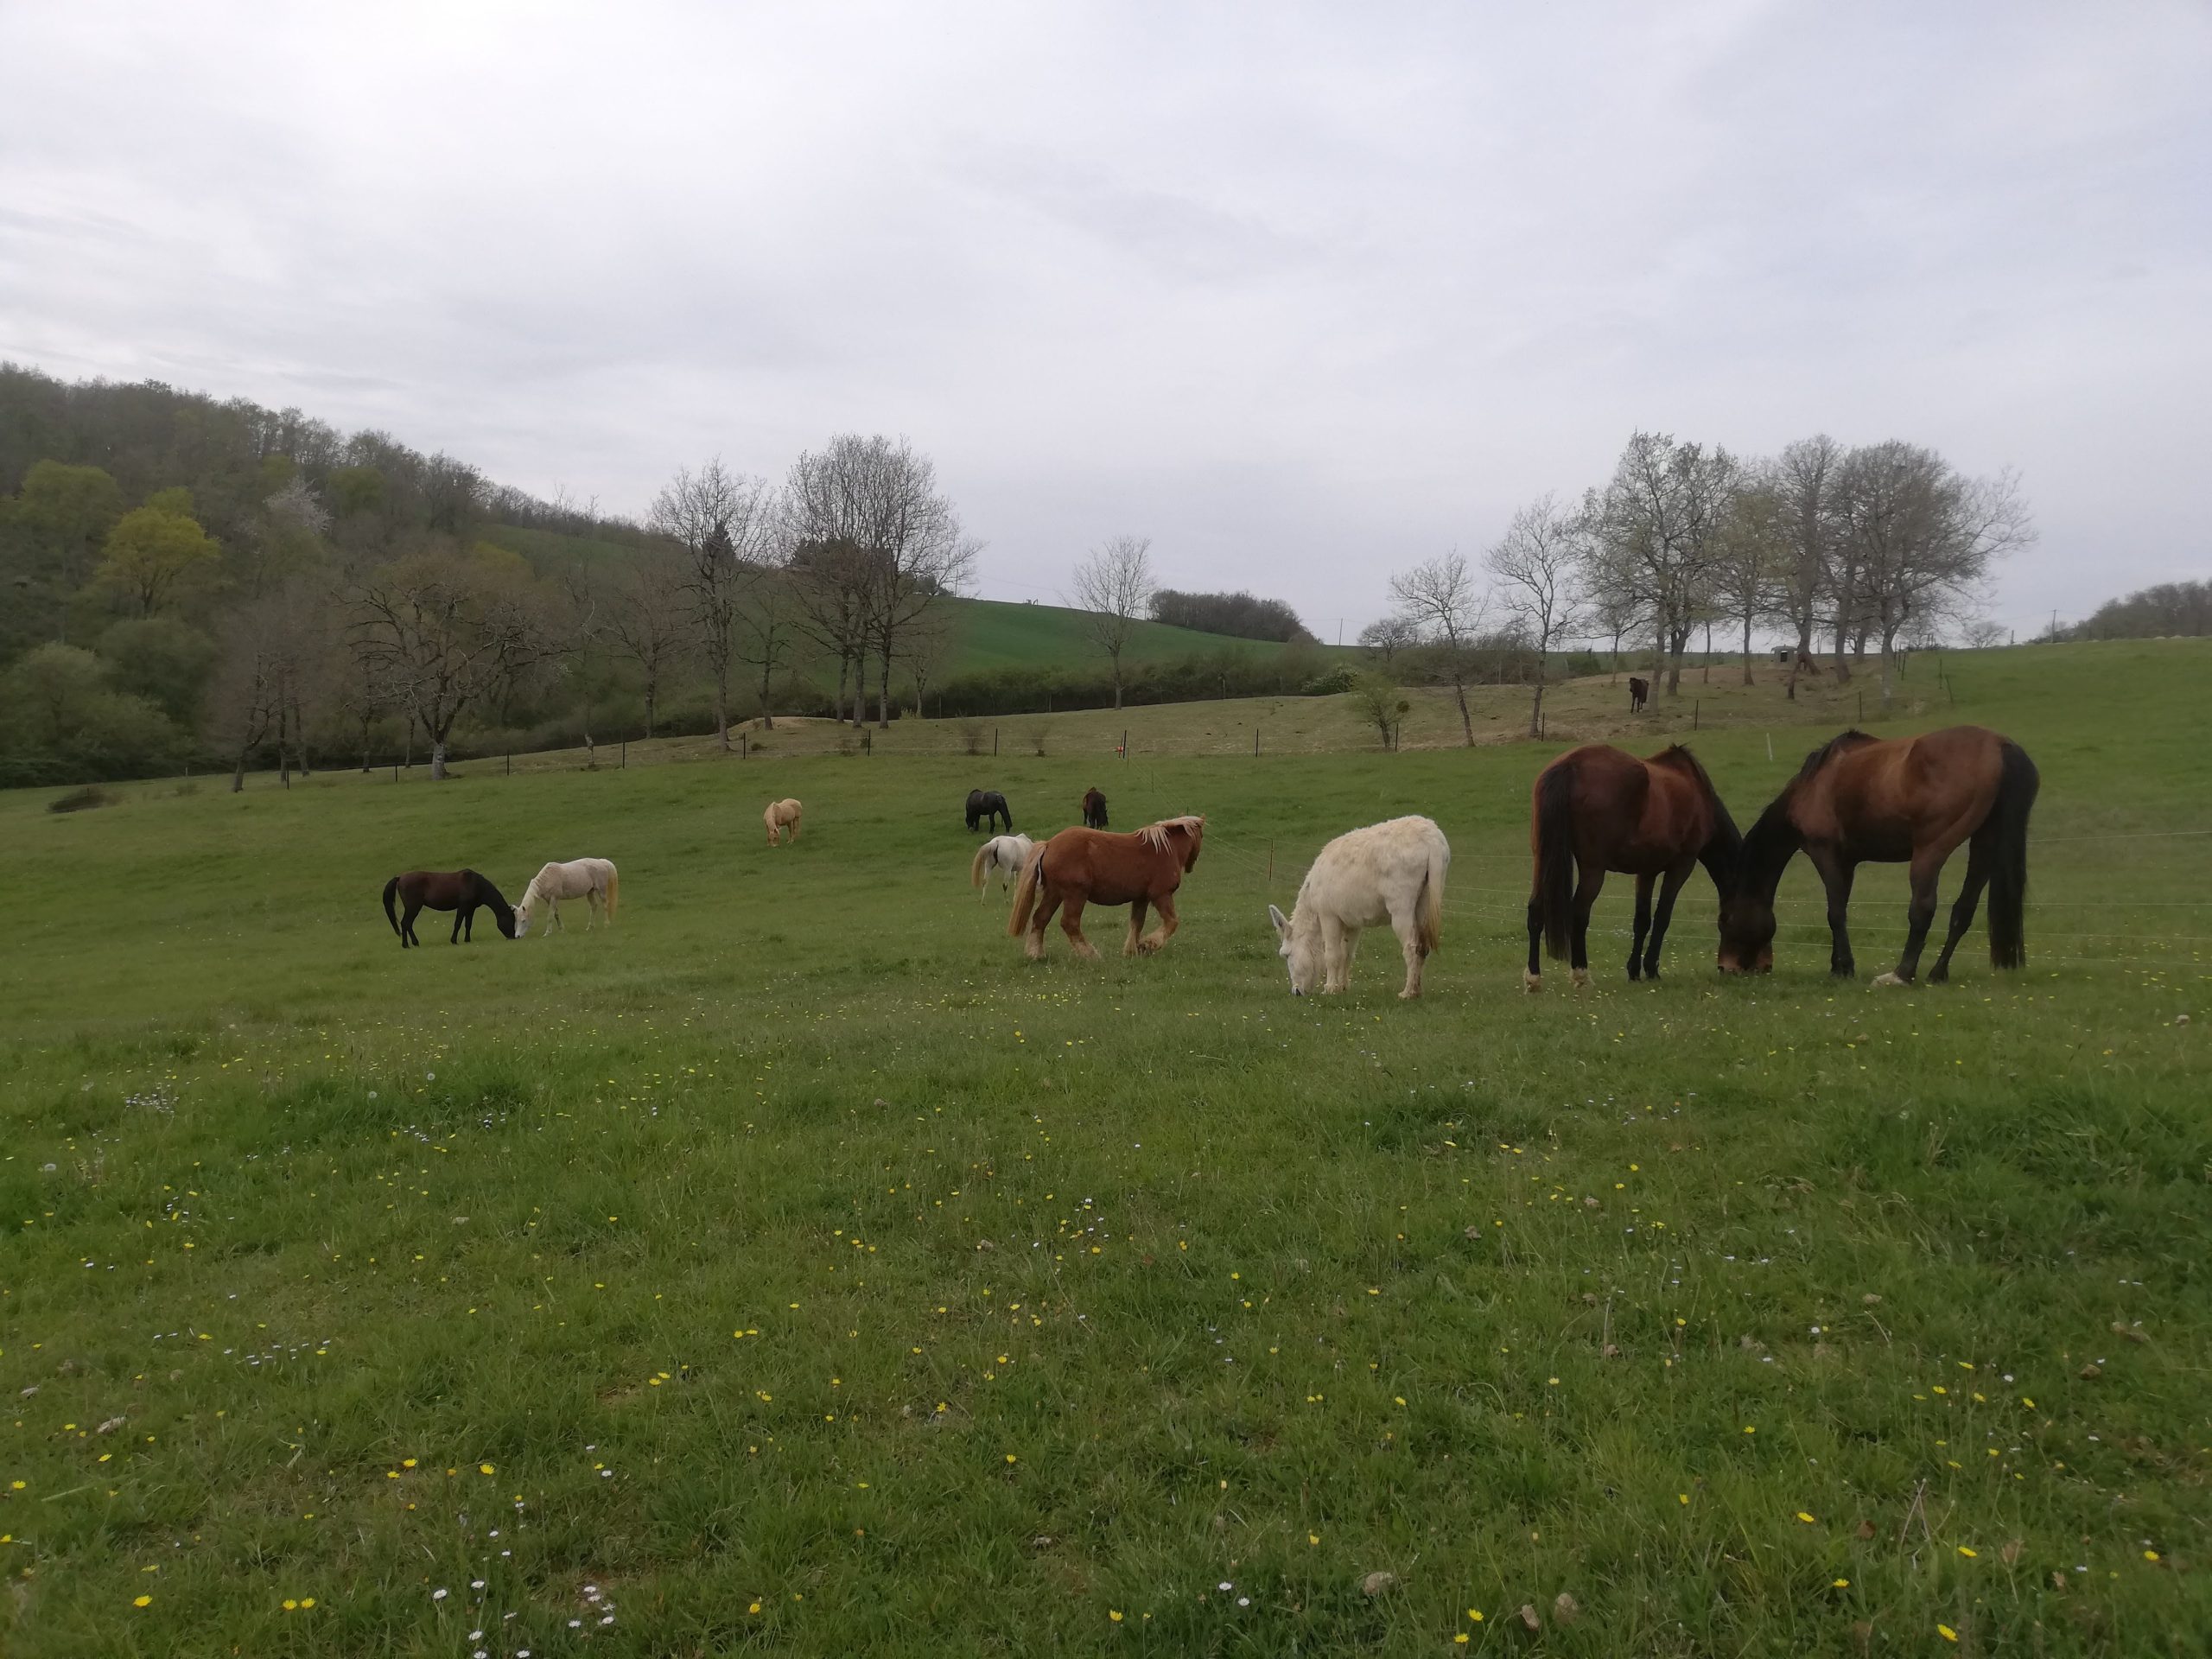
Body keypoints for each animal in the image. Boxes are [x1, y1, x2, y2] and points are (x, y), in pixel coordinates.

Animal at [382, 870, 515, 948]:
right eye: (512, 921)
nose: (513, 937)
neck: (475, 884)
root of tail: (400, 877)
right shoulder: (463, 907)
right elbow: (458, 923)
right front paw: (454, 941)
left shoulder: (471, 909)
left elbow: (468, 925)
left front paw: (467, 940)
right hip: (413, 907)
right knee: (406, 923)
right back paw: (408, 944)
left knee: (407, 924)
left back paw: (412, 943)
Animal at [1009, 815, 1204, 960]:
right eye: (1202, 836)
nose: (1191, 865)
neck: (1165, 849)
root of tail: (1049, 844)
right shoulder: (1161, 895)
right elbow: (1171, 922)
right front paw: (1149, 944)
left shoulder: (1141, 898)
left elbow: (1137, 923)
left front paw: (1133, 950)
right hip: (1075, 895)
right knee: (1070, 923)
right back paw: (1091, 955)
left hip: (1054, 893)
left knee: (1040, 918)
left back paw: (1037, 954)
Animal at [1267, 816, 1448, 998]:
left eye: (1286, 955)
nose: (1296, 992)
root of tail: (1431, 839)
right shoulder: (1352, 922)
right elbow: (1346, 954)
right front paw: (1343, 987)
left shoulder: (1328, 916)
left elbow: (1331, 955)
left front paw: (1330, 988)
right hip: (1426, 901)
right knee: (1423, 948)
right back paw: (1417, 990)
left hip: (1401, 907)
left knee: (1411, 947)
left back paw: (1408, 993)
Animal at [1525, 743, 1740, 990]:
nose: (1730, 970)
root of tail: (1570, 765)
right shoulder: (1682, 865)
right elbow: (1663, 916)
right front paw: (1651, 970)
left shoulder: (1646, 871)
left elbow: (1642, 920)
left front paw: (1634, 971)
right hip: (1593, 869)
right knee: (1579, 912)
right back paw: (1581, 975)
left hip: (1542, 858)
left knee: (1536, 909)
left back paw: (1533, 978)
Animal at [1718, 726, 2037, 985]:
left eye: (1725, 921)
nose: (1725, 968)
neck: (1811, 787)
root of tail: (1999, 745)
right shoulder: (1847, 862)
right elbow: (1839, 910)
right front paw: (1837, 967)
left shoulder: (1825, 853)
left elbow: (1835, 913)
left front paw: (1846, 967)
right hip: (1985, 844)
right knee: (1963, 910)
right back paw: (1937, 973)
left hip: (1930, 850)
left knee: (1922, 909)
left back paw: (1901, 975)